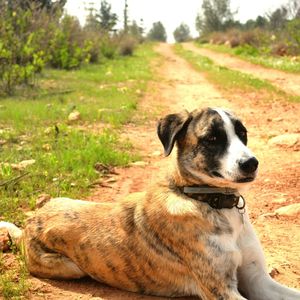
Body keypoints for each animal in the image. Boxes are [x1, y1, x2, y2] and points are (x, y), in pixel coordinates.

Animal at [0, 108, 300, 300]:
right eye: (212, 138)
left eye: (243, 133)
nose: (251, 163)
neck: (214, 203)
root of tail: (28, 224)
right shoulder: (222, 290)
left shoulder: (258, 280)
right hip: (71, 268)